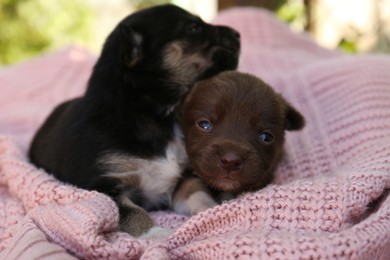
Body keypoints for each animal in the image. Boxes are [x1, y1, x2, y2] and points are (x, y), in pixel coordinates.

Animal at [28, 4, 241, 237]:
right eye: (193, 27)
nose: (238, 34)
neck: (159, 115)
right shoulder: (101, 187)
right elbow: (132, 212)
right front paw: (157, 235)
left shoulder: (182, 177)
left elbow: (197, 192)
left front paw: (213, 211)